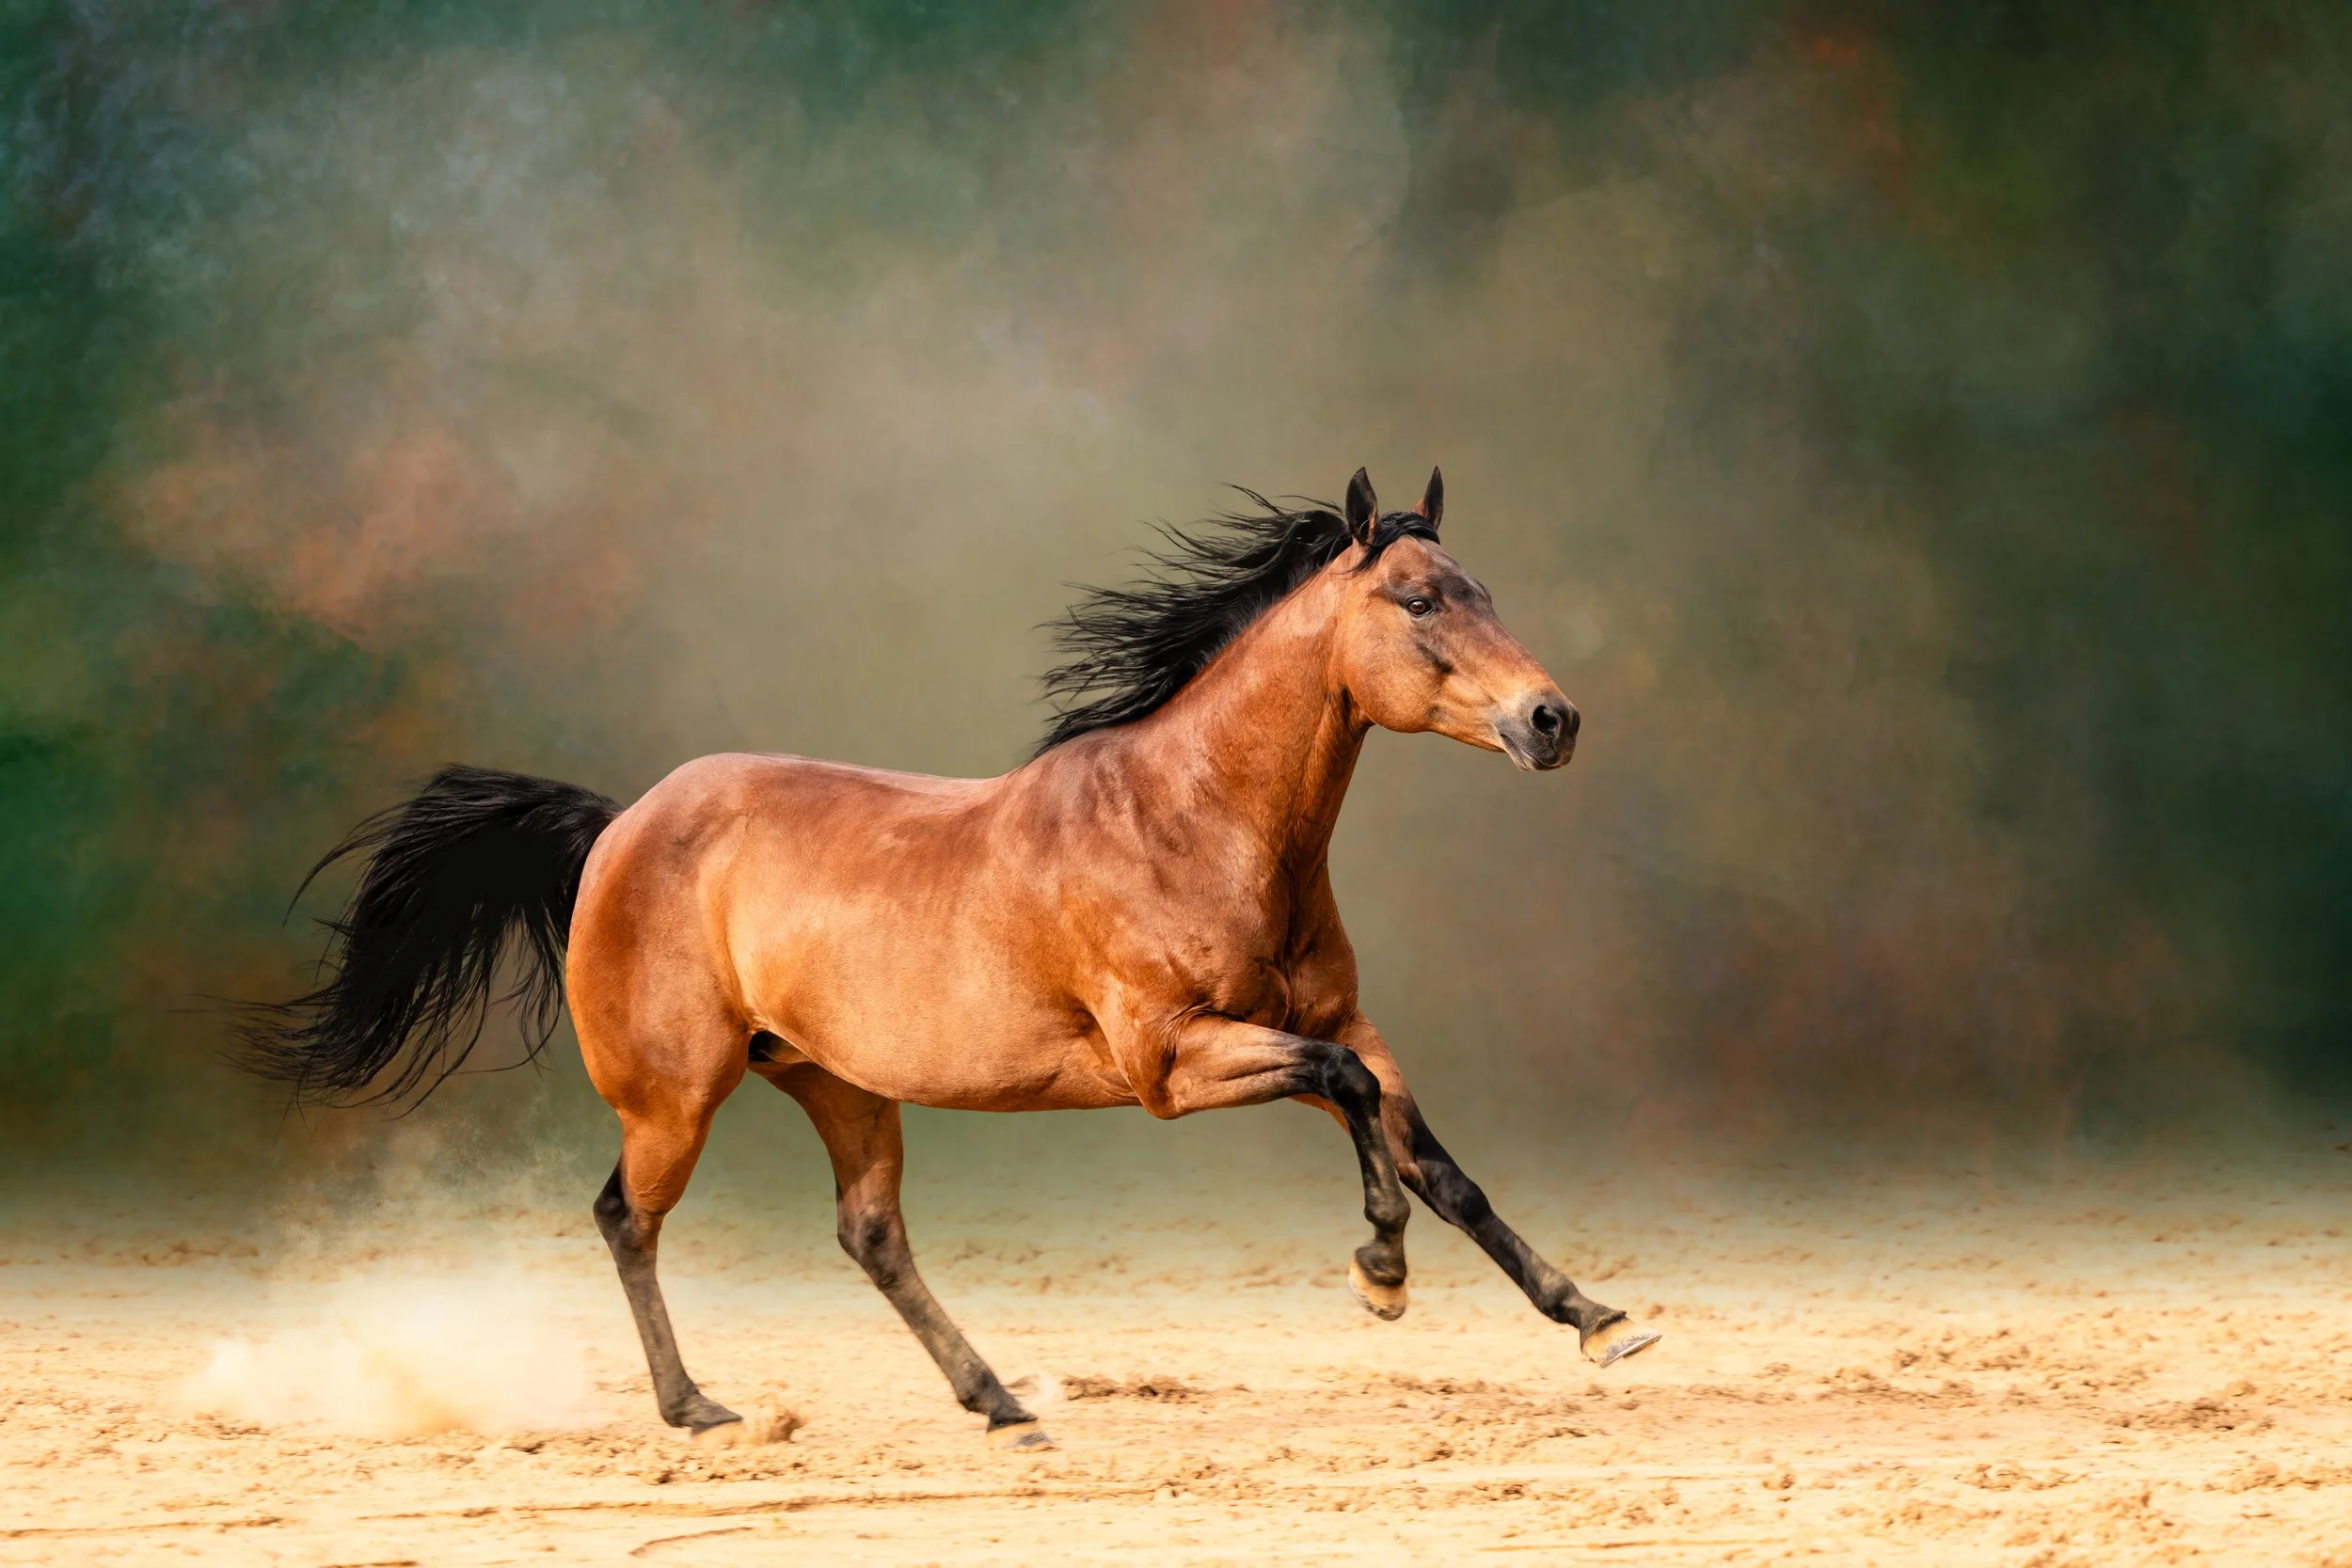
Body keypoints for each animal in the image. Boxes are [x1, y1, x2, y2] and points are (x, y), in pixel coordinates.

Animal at [241, 466, 1658, 1452]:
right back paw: (698, 1407)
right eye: (1419, 599)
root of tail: (618, 822)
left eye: (1488, 590)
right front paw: (1381, 1278)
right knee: (625, 1218)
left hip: (839, 1082)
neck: (1193, 819)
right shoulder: (1174, 1062)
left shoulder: (1341, 1019)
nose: (1553, 719)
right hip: (675, 1097)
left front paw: (1596, 1319)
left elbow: (1436, 1159)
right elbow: (1359, 1106)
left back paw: (998, 1398)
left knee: (870, 1233)